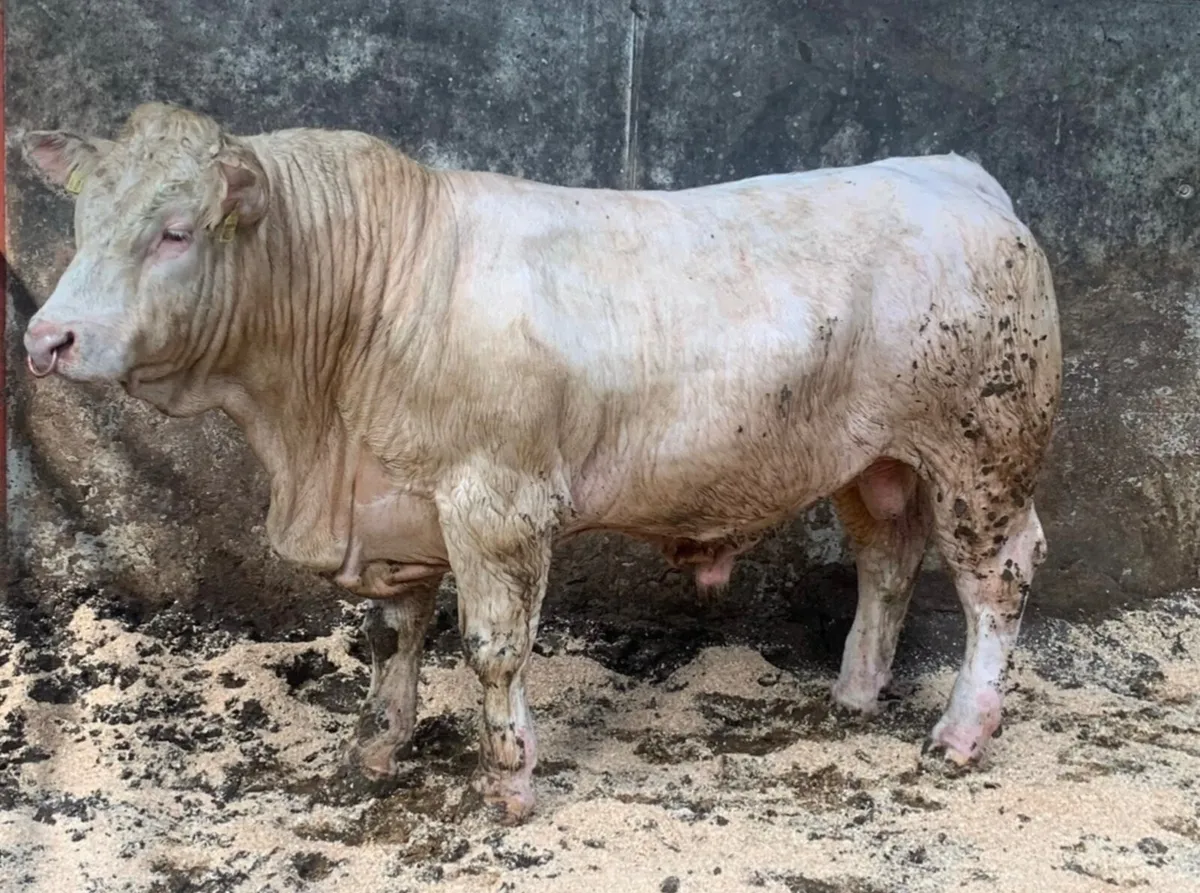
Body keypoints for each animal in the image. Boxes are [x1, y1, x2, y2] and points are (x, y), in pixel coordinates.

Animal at [20, 102, 1062, 824]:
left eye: (176, 230)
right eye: (80, 221)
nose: (46, 337)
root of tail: (957, 174)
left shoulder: (498, 501)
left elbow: (493, 647)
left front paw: (511, 781)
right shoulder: (397, 509)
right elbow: (391, 638)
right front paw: (374, 750)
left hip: (986, 451)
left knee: (999, 578)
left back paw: (961, 731)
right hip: (873, 460)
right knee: (888, 560)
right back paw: (853, 693)